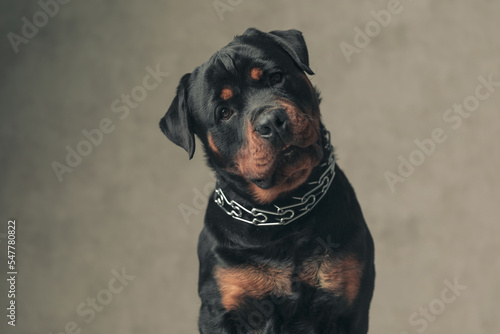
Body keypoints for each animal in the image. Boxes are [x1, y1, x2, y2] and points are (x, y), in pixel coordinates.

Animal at [160, 27, 376, 332]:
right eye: (224, 112)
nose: (272, 121)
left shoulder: (348, 300)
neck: (284, 213)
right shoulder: (221, 310)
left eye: (276, 77)